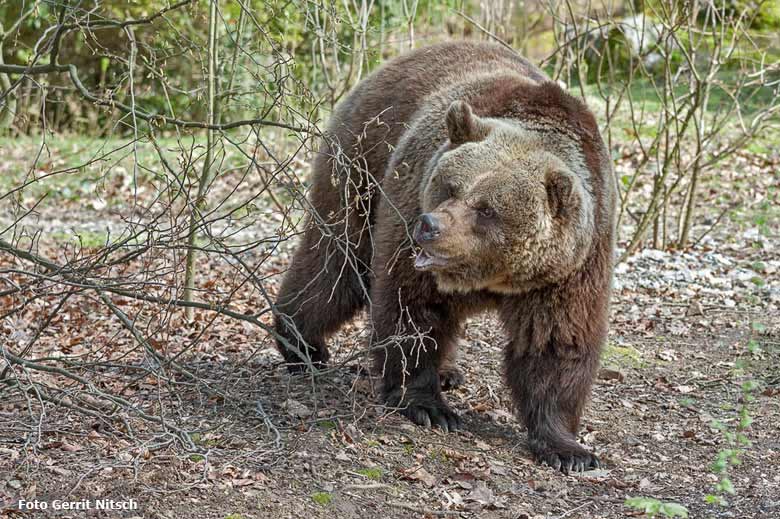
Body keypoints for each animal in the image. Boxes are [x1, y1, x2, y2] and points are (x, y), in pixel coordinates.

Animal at [274, 40, 616, 474]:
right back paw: (302, 344)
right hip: (362, 164)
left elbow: (555, 341)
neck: (497, 276)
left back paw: (449, 371)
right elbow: (413, 310)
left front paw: (568, 449)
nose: (429, 225)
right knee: (335, 263)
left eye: (487, 209)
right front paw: (428, 406)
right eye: (451, 186)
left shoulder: (572, 268)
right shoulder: (407, 219)